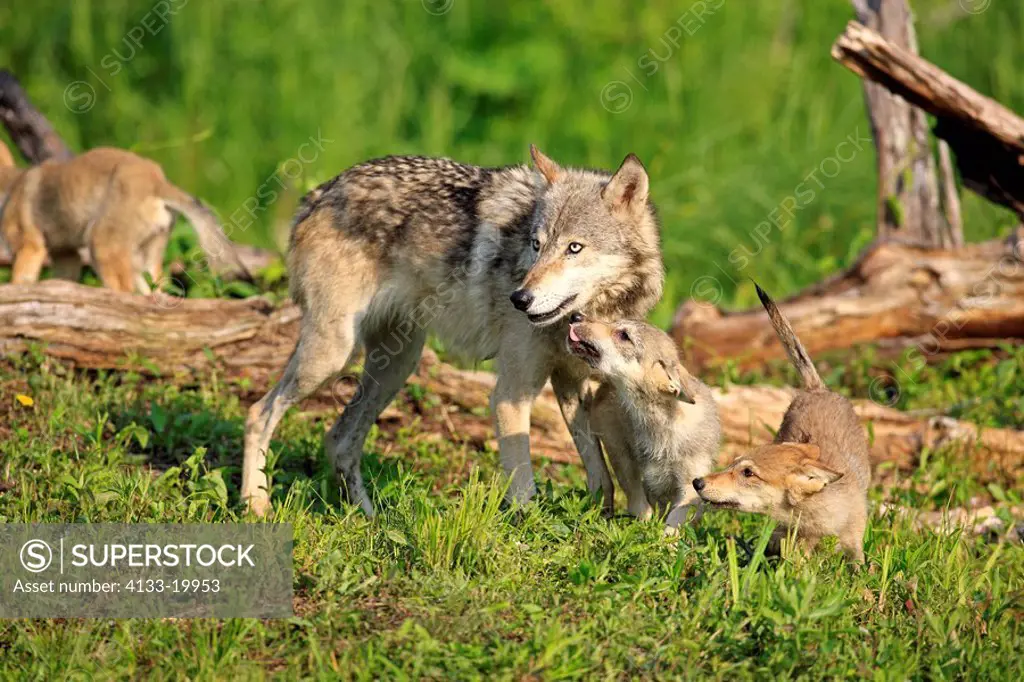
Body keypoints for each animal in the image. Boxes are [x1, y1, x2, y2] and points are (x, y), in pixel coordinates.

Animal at [244, 146, 667, 512]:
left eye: (574, 248)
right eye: (536, 245)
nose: (520, 298)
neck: (591, 311)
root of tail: (320, 192)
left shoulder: (571, 381)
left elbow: (600, 472)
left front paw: (602, 516)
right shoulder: (511, 395)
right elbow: (524, 490)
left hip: (395, 367)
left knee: (338, 440)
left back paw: (368, 518)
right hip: (333, 358)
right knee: (257, 414)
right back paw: (256, 505)